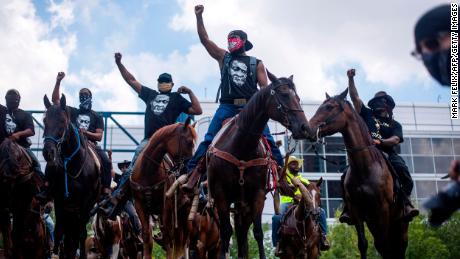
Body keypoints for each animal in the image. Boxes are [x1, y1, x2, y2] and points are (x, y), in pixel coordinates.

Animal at [42, 94, 101, 258]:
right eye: (44, 121)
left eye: (62, 121)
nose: (48, 152)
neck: (73, 163)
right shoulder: (59, 200)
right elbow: (59, 231)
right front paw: (55, 254)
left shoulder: (85, 203)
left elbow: (81, 234)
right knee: (68, 235)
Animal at [131, 119, 198, 258]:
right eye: (189, 142)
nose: (191, 168)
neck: (148, 172)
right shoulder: (140, 206)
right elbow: (147, 236)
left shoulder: (165, 207)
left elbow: (168, 237)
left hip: (186, 213)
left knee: (184, 241)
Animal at [203, 72, 310, 259]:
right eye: (284, 95)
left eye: (297, 97)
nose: (304, 128)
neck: (241, 147)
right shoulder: (221, 195)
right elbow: (225, 231)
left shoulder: (257, 195)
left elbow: (258, 232)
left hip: (243, 206)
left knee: (242, 235)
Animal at [310, 90, 406, 259]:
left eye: (329, 107)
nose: (307, 127)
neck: (365, 167)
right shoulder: (357, 211)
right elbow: (363, 244)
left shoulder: (382, 210)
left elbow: (383, 246)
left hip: (399, 222)